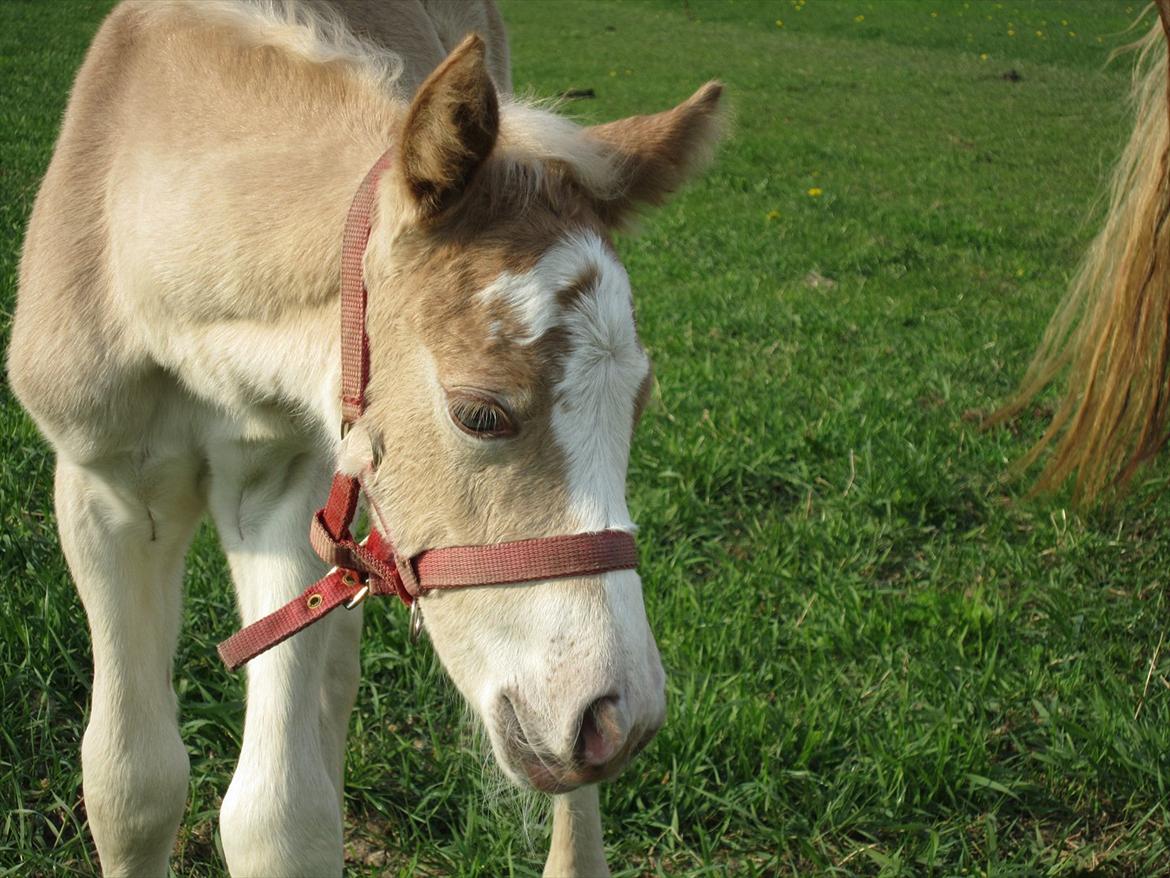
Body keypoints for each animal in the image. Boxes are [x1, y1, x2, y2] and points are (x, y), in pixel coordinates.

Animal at [6, 1, 720, 878]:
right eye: (480, 414)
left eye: (639, 405)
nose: (621, 719)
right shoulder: (101, 486)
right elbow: (130, 783)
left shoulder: (282, 487)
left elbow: (275, 819)